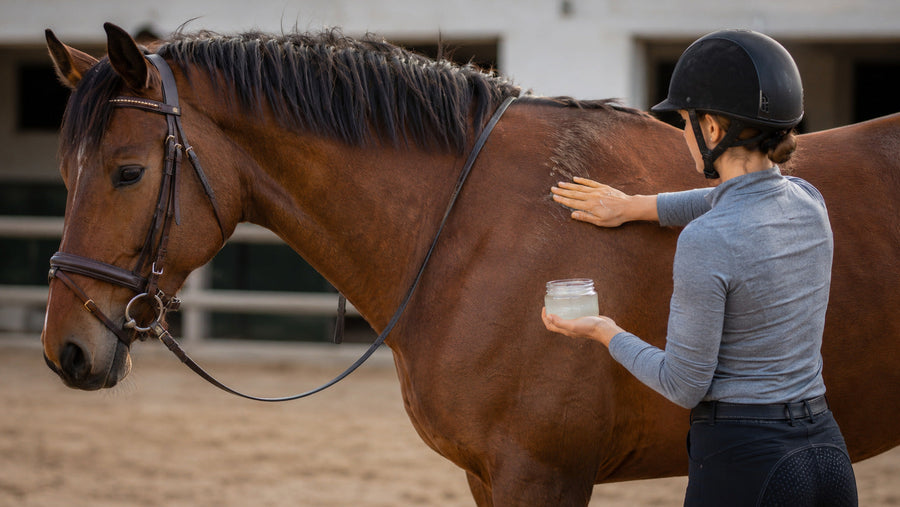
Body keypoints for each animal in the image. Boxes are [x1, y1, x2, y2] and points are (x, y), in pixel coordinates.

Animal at [41, 23, 899, 505]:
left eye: (126, 171)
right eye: (64, 172)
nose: (66, 352)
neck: (469, 228)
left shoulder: (540, 475)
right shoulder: (488, 475)